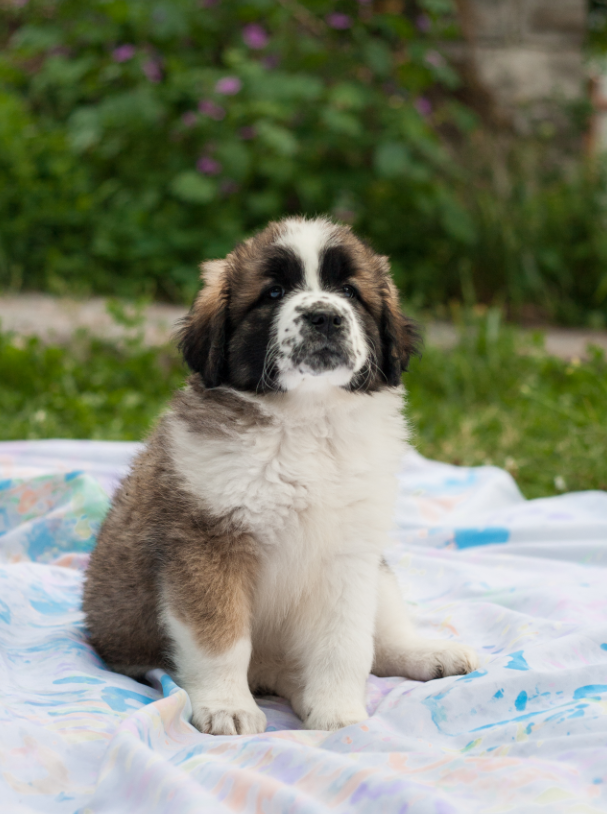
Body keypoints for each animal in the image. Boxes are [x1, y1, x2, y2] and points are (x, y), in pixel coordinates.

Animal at [82, 218, 480, 740]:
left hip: (378, 571)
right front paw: (228, 707)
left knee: (384, 637)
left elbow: (345, 643)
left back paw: (427, 653)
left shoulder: (348, 556)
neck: (306, 420)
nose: (324, 317)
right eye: (272, 293)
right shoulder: (207, 547)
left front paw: (339, 714)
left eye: (349, 292)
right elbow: (221, 638)